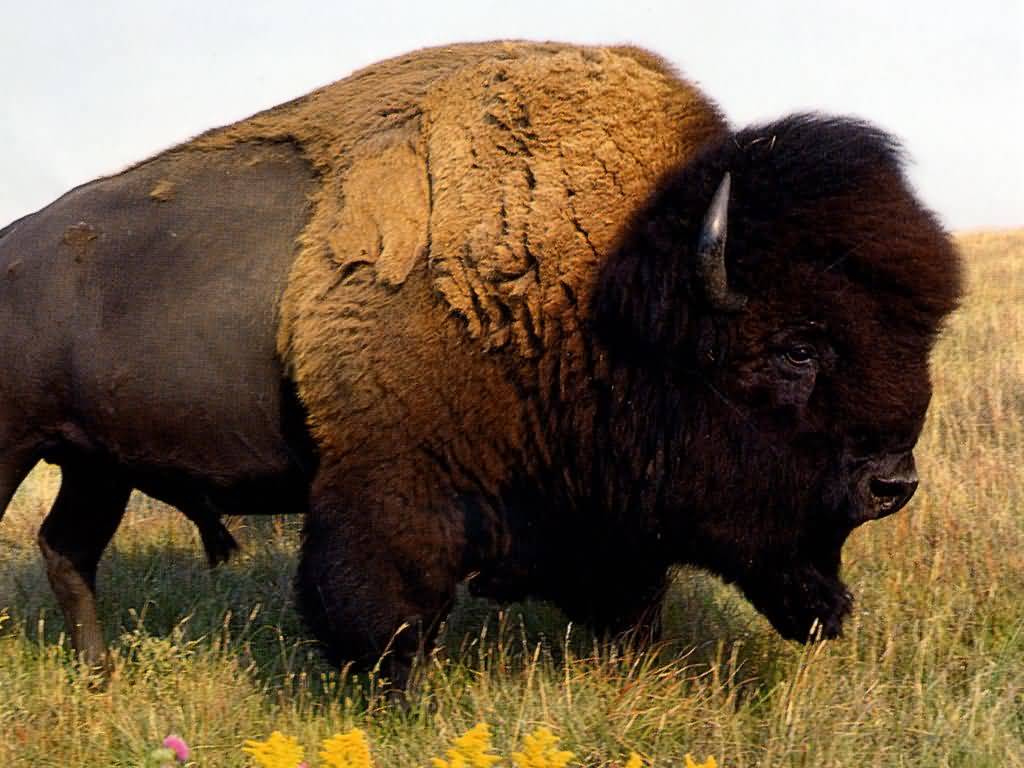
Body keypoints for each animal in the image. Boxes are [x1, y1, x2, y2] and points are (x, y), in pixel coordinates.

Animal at [0, 42, 960, 684]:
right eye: (797, 346)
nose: (893, 482)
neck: (604, 286)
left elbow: (632, 606)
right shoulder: (390, 500)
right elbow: (383, 621)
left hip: (95, 465)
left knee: (67, 549)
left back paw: (100, 675)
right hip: (20, 450)